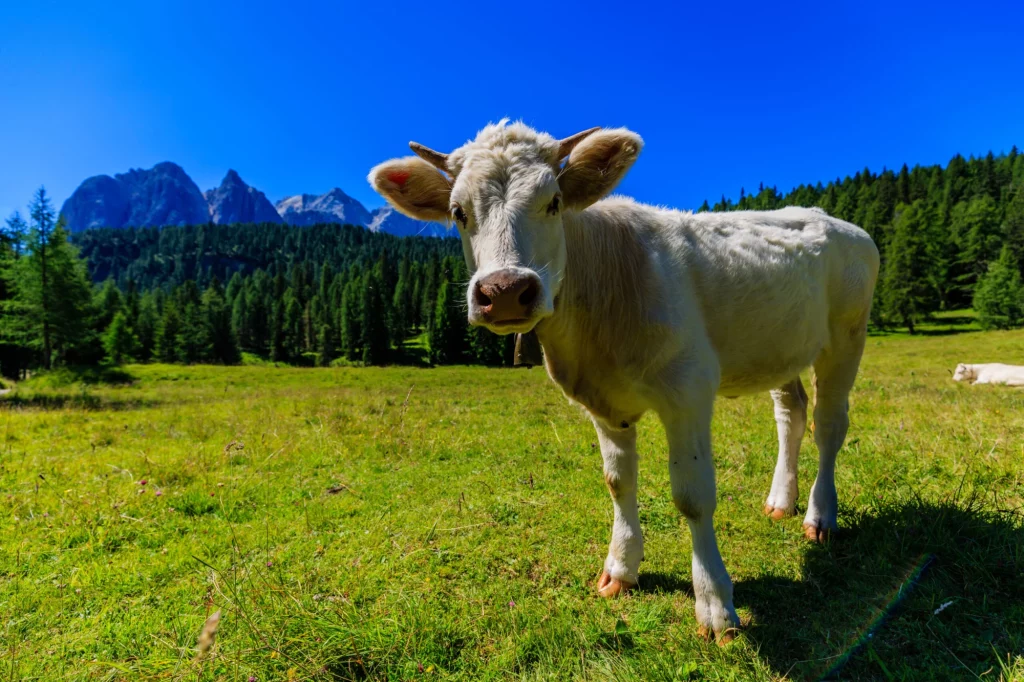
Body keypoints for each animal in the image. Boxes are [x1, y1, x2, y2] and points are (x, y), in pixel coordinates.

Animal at [368, 120, 880, 638]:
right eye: (458, 212)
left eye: (553, 201)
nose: (506, 290)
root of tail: (829, 217)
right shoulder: (602, 403)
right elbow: (618, 481)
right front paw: (621, 568)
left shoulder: (688, 390)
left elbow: (693, 496)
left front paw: (715, 607)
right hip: (785, 347)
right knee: (791, 413)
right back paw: (781, 500)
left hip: (847, 336)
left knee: (829, 426)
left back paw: (820, 515)